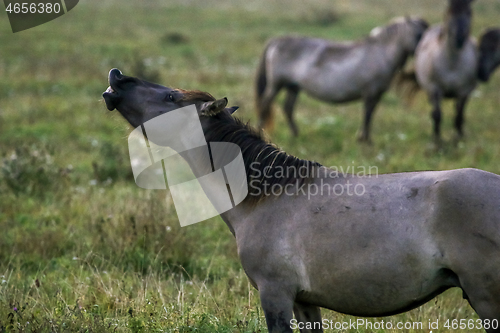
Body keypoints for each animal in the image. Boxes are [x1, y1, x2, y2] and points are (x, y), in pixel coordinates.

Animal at [103, 68, 500, 332]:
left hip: (486, 298)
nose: (117, 77)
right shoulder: (306, 302)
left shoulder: (276, 294)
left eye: (171, 98)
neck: (265, 198)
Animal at [256, 16, 428, 141]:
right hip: (276, 85)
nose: (424, 54)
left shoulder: (377, 94)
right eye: (419, 35)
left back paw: (295, 134)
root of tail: (276, 40)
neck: (381, 54)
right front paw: (364, 140)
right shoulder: (370, 93)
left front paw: (365, 138)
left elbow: (370, 115)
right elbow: (367, 115)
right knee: (265, 104)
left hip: (293, 87)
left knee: (288, 109)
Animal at [412, 0, 478, 141]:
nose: (459, 38)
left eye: (469, 12)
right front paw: (437, 140)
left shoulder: (464, 92)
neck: (452, 64)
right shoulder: (435, 89)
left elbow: (459, 116)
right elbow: (437, 116)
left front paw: (459, 139)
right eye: (449, 12)